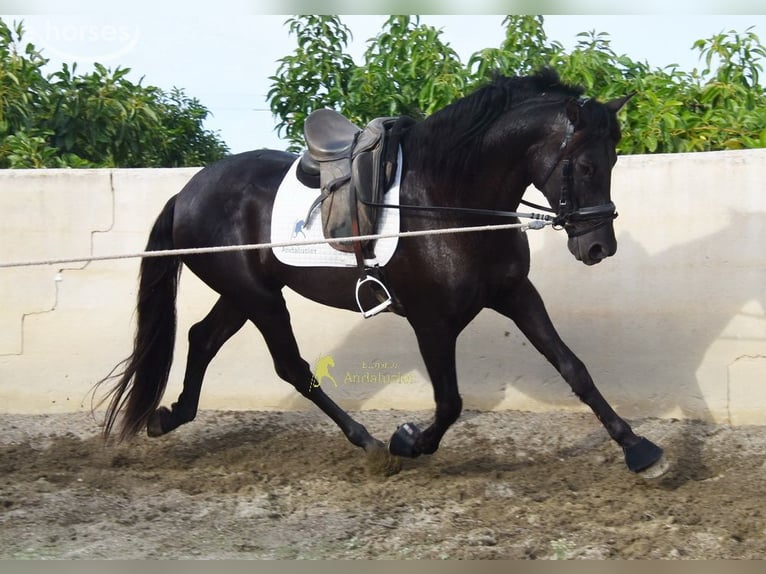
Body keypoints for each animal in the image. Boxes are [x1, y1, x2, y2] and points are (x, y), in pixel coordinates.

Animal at [96, 69, 665, 476]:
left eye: (614, 161)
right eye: (586, 166)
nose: (599, 246)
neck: (447, 198)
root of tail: (186, 191)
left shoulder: (516, 294)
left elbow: (573, 367)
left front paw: (638, 448)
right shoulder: (432, 321)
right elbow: (450, 402)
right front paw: (407, 441)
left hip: (245, 293)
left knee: (202, 338)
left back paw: (169, 416)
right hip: (260, 298)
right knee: (291, 368)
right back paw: (368, 442)